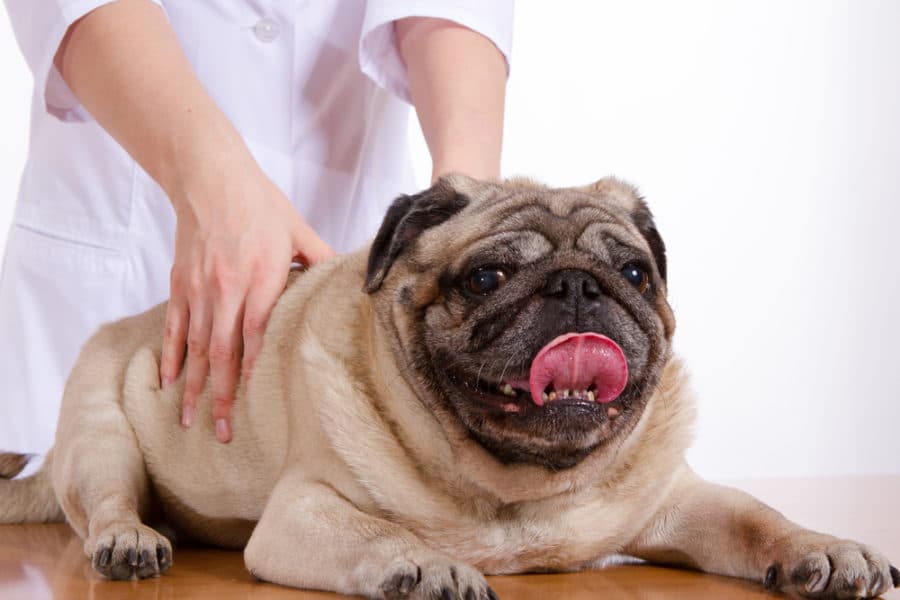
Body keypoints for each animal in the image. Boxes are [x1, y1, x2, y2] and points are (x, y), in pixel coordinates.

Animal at [1, 176, 900, 596]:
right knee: (105, 505)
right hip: (102, 438)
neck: (517, 485)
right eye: (487, 277)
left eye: (636, 273)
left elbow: (759, 518)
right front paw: (426, 565)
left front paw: (824, 548)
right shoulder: (306, 513)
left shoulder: (681, 500)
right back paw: (130, 539)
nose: (578, 287)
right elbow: (376, 534)